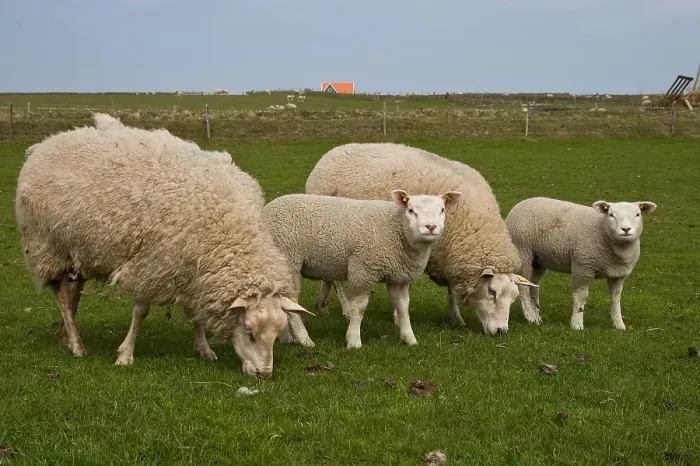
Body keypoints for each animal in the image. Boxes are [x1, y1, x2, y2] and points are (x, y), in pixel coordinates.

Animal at [15, 114, 313, 377]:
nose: (264, 374)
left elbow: (195, 314)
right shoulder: (152, 263)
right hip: (47, 246)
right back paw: (76, 345)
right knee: (63, 297)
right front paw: (125, 354)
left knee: (74, 290)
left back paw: (65, 336)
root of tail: (45, 144)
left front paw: (203, 349)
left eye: (277, 332)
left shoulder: (193, 269)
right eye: (249, 330)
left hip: (79, 250)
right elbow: (140, 312)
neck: (225, 227)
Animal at [263, 189, 462, 348]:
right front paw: (353, 341)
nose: (430, 227)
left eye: (442, 210)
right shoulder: (363, 270)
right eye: (411, 210)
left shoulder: (399, 278)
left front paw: (409, 338)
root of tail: (267, 210)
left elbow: (403, 307)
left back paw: (286, 338)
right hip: (288, 261)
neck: (397, 230)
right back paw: (304, 340)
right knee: (291, 302)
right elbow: (358, 308)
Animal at [305, 143, 537, 336]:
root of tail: (333, 151)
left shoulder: (450, 257)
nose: (501, 331)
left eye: (514, 297)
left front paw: (455, 317)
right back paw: (345, 308)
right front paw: (399, 318)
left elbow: (451, 290)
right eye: (492, 291)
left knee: (328, 276)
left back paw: (323, 304)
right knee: (336, 279)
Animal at [505, 197, 657, 331]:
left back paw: (536, 314)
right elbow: (581, 297)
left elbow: (616, 298)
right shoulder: (582, 267)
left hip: (538, 260)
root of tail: (521, 204)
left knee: (534, 285)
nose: (626, 229)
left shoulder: (618, 274)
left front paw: (619, 324)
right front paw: (577, 324)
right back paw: (530, 316)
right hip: (522, 251)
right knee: (523, 286)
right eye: (611, 215)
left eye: (637, 214)